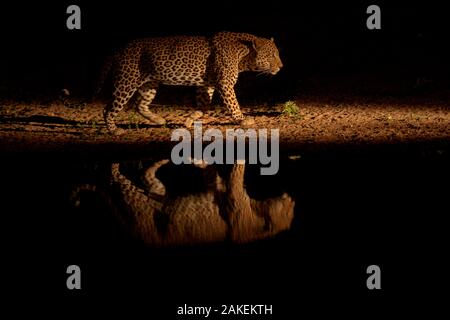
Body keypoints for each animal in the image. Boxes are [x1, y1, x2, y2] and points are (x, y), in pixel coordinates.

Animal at [71, 159, 296, 245]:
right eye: (288, 213)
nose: (293, 200)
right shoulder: (235, 195)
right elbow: (237, 174)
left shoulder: (218, 187)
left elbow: (212, 173)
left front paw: (197, 160)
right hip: (134, 203)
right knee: (112, 176)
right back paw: (115, 164)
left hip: (155, 193)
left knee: (146, 176)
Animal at [99, 30, 284, 134]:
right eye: (272, 55)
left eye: (277, 54)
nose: (281, 66)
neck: (244, 55)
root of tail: (120, 49)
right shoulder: (225, 83)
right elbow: (233, 103)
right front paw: (241, 119)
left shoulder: (207, 85)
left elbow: (203, 106)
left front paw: (189, 119)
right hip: (126, 82)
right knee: (109, 108)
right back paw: (114, 130)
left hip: (149, 84)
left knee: (140, 105)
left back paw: (158, 120)